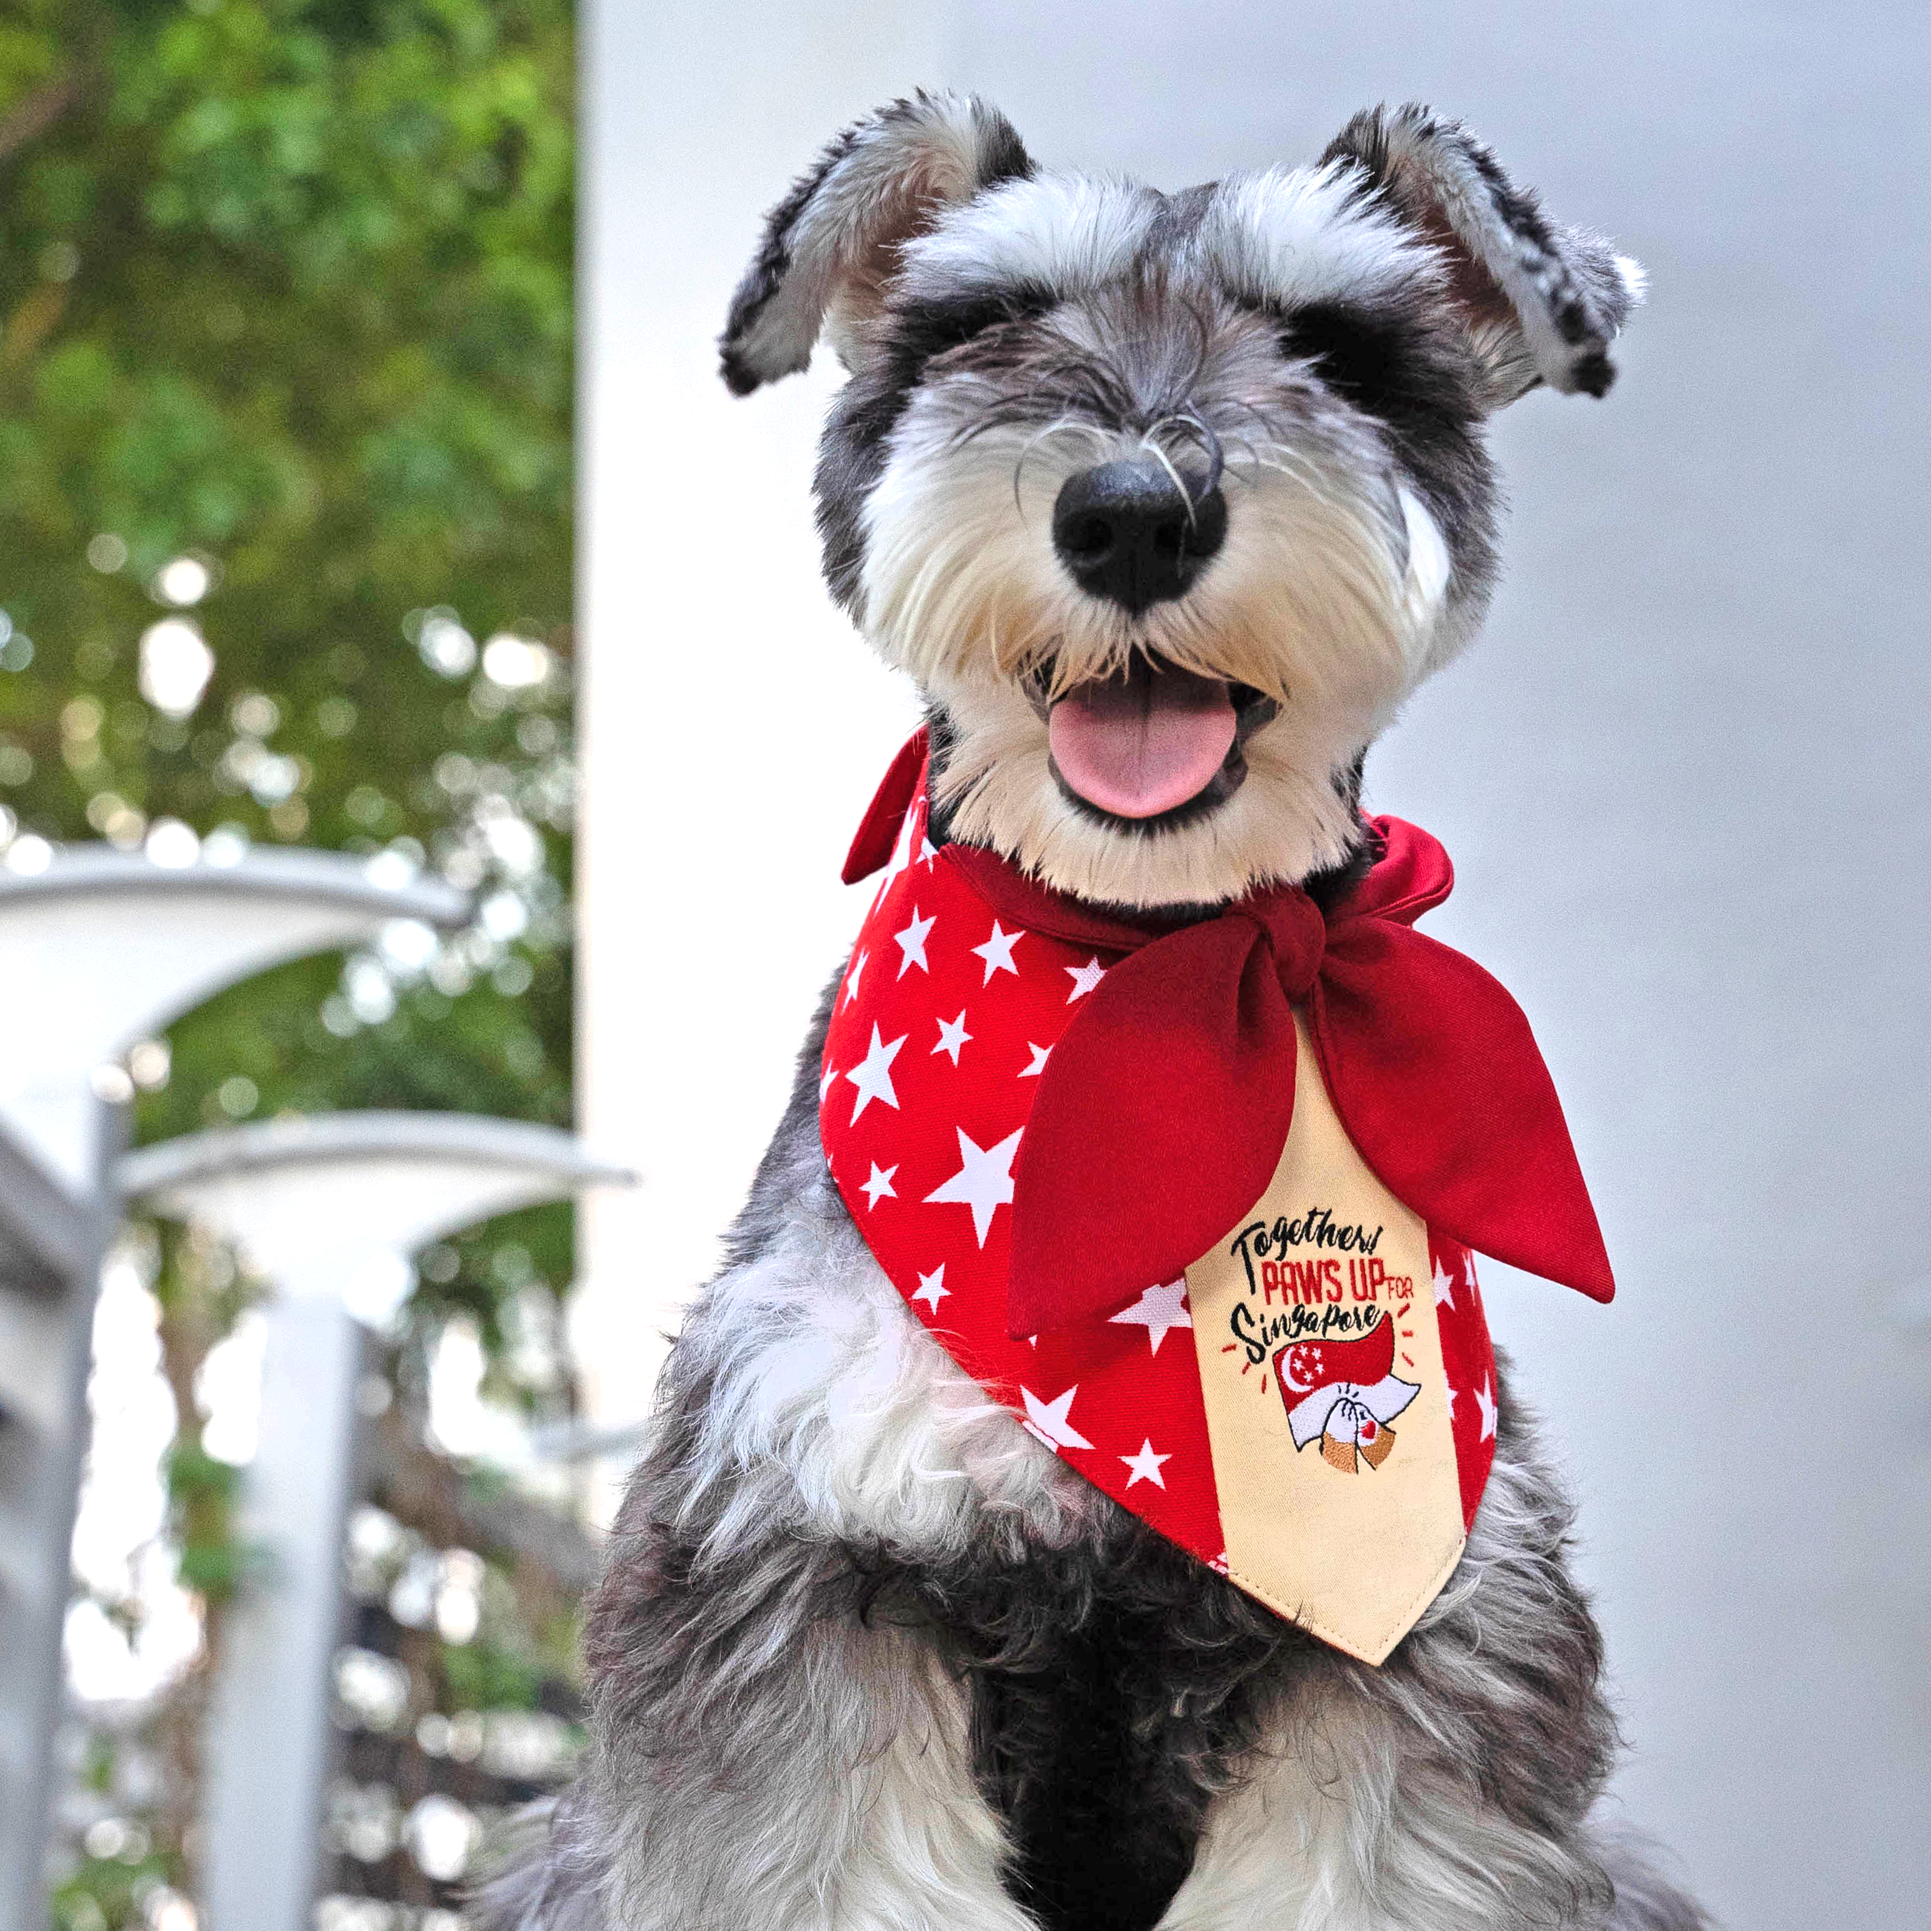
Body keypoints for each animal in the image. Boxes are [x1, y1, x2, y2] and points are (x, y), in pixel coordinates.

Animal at [490, 86, 1714, 1931]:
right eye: (983, 321)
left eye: (1336, 346)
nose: (1133, 512)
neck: (1147, 967)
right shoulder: (790, 1559)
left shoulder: (1423, 1624)